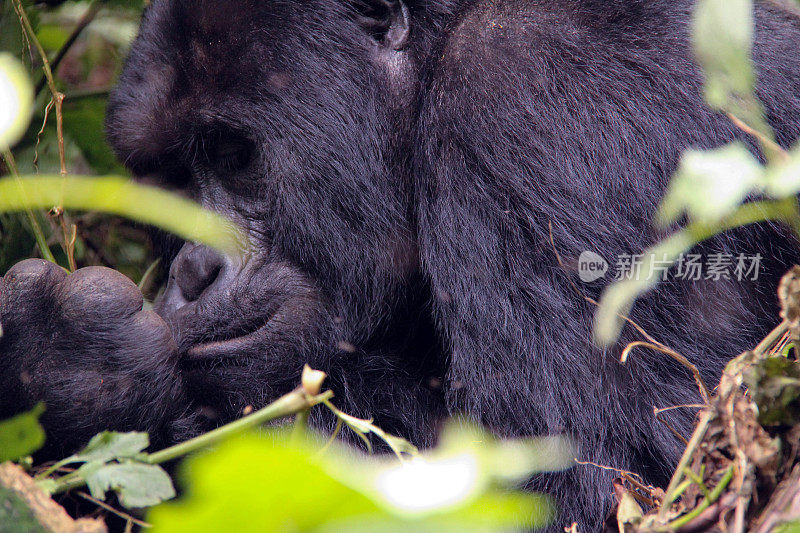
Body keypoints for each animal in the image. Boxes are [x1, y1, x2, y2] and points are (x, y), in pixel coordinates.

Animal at [1, 1, 800, 528]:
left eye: (235, 157)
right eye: (168, 181)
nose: (194, 271)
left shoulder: (530, 99)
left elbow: (599, 488)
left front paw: (75, 367)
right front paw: (44, 373)